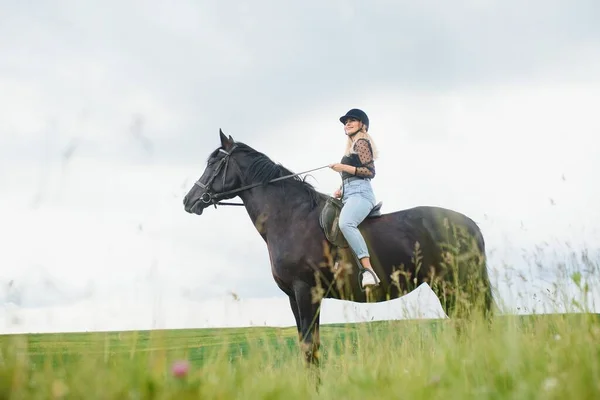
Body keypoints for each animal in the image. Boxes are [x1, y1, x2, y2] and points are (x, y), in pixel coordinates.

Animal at [182, 130, 492, 366]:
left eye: (213, 164)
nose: (189, 200)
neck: (290, 216)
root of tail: (470, 225)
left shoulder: (306, 292)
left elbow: (310, 348)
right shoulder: (294, 297)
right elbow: (307, 346)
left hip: (455, 285)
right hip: (448, 287)